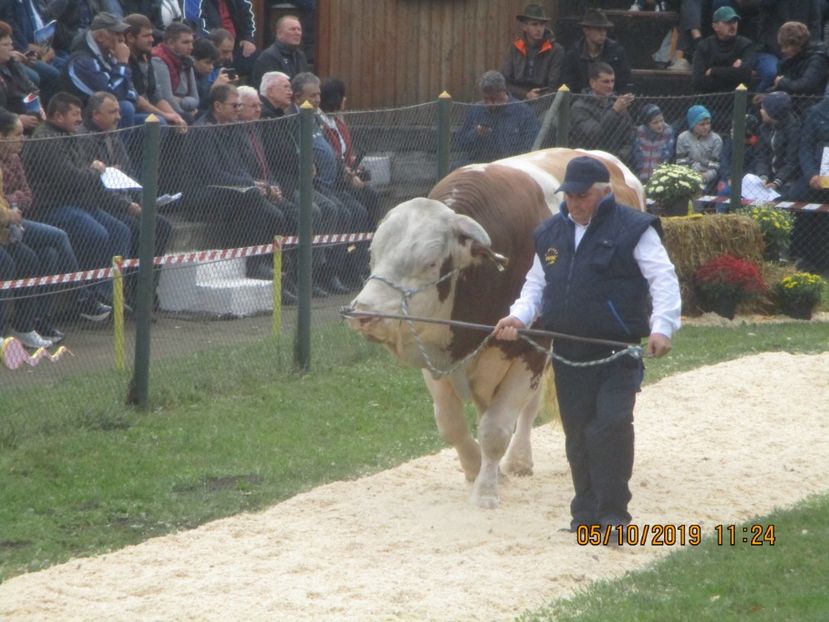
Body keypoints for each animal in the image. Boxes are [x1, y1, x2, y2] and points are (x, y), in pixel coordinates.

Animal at [346, 149, 644, 510]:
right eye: (374, 255)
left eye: (430, 263)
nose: (363, 312)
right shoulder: (435, 355)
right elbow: (451, 425)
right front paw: (478, 471)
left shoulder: (529, 351)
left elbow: (495, 429)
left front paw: (486, 491)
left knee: (528, 408)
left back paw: (518, 460)